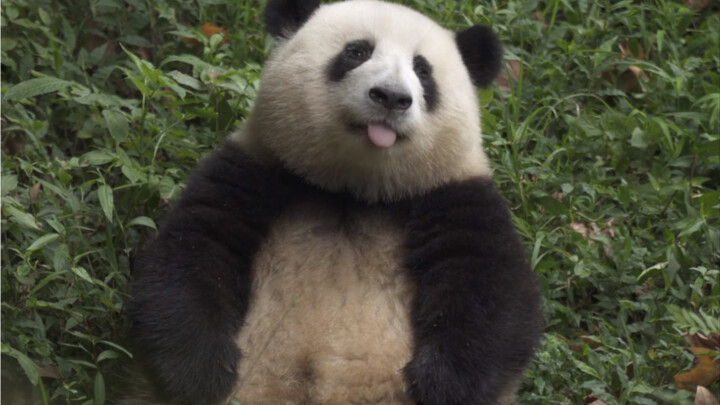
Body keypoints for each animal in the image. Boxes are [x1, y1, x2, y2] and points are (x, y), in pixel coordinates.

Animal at [127, 0, 543, 404]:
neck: (356, 189)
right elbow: (190, 257)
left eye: (423, 70)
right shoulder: (256, 170)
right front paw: (202, 373)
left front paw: (442, 385)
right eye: (357, 51)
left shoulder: (452, 196)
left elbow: (492, 299)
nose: (391, 97)